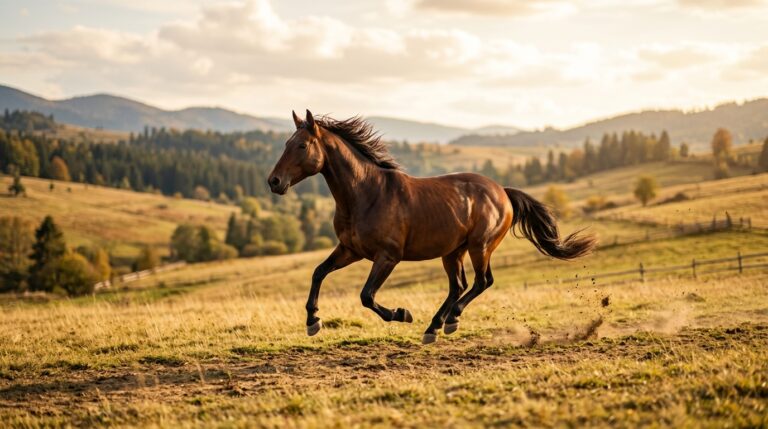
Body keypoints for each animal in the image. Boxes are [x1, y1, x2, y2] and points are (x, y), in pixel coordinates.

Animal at [268, 110, 596, 344]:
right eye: (285, 144)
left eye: (301, 145)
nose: (274, 182)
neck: (366, 193)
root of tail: (502, 191)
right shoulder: (351, 250)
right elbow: (319, 272)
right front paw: (313, 322)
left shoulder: (387, 256)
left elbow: (366, 296)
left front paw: (402, 314)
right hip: (453, 252)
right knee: (459, 286)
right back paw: (436, 327)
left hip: (479, 247)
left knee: (481, 282)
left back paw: (449, 321)